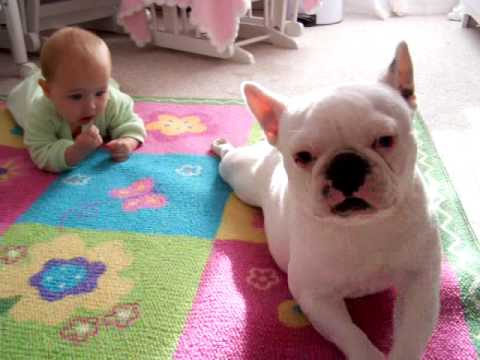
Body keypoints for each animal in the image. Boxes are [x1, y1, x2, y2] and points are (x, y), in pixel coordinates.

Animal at [212, 43, 440, 360]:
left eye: (386, 140)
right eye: (303, 156)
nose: (346, 166)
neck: (363, 226)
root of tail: (266, 144)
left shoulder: (421, 283)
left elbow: (411, 336)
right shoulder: (315, 297)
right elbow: (351, 335)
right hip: (239, 176)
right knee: (228, 159)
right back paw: (222, 146)